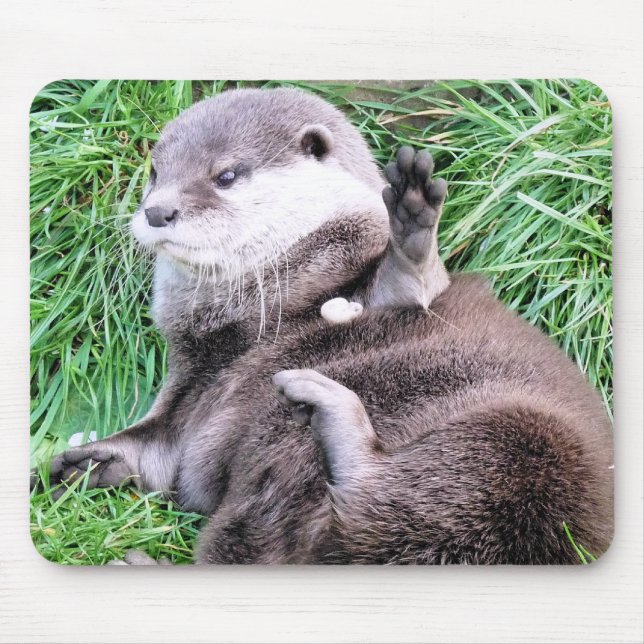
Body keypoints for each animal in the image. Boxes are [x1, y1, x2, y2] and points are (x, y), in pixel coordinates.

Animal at [40, 88, 613, 564]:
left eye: (226, 175)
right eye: (156, 172)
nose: (158, 211)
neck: (250, 323)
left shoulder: (365, 287)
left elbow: (410, 286)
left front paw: (412, 221)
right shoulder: (190, 387)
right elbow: (158, 452)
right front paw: (81, 463)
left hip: (520, 448)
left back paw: (336, 419)